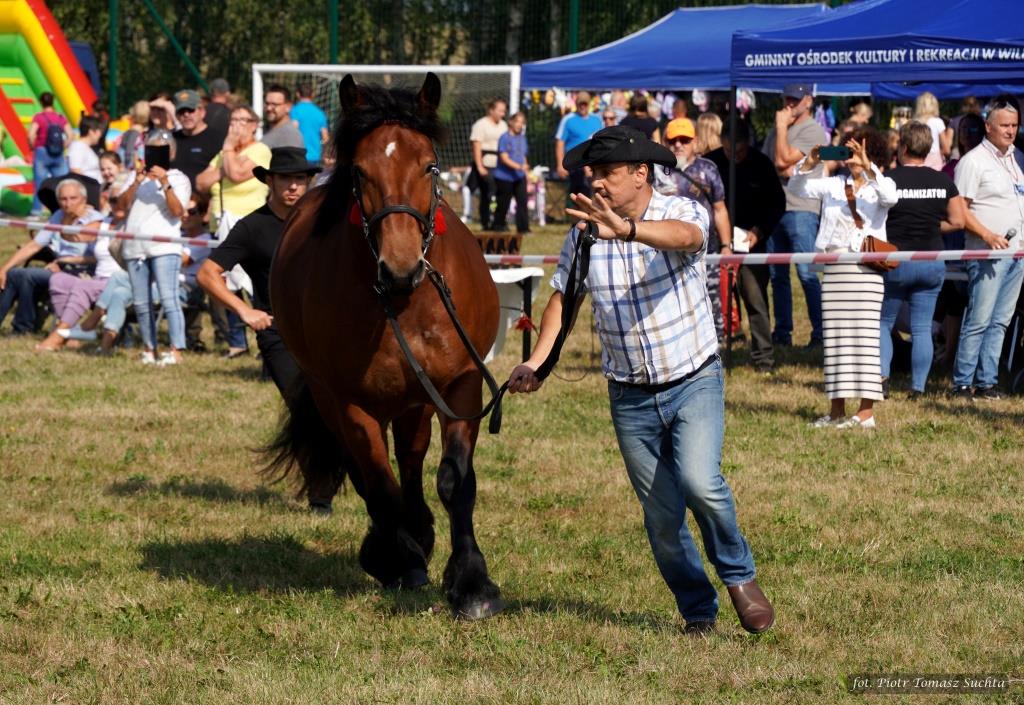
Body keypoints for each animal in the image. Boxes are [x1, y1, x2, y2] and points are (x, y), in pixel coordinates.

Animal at [267, 73, 505, 620]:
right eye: (360, 170)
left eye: (430, 165)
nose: (400, 267)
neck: (404, 302)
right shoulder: (350, 402)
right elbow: (377, 482)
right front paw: (399, 560)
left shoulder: (459, 387)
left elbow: (454, 480)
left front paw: (471, 582)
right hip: (341, 398)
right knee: (371, 475)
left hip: (415, 400)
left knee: (413, 462)